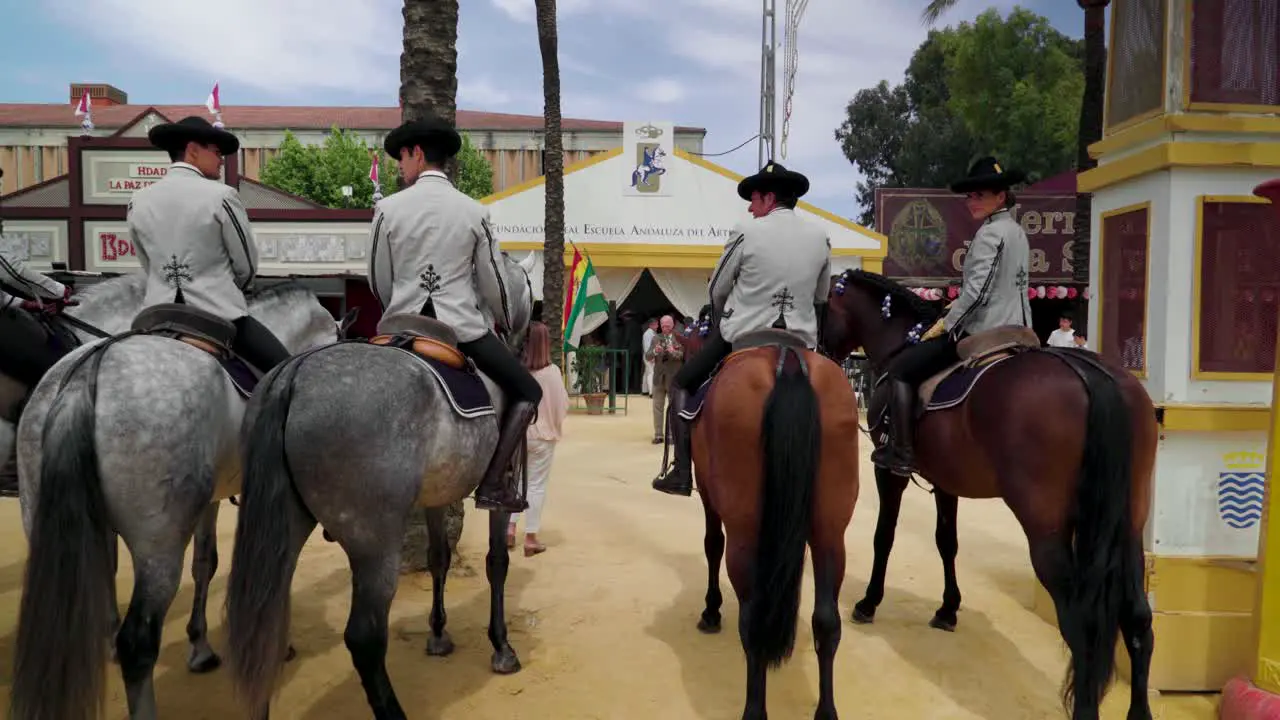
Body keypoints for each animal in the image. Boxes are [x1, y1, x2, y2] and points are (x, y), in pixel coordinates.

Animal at [11, 278, 350, 717]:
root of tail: (84, 376)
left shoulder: (210, 500)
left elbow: (205, 563)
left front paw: (199, 644)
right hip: (160, 545)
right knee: (138, 644)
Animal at [222, 253, 532, 717]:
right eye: (528, 287)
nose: (522, 334)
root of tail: (295, 372)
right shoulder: (499, 494)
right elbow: (497, 563)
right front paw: (502, 646)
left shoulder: (437, 497)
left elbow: (438, 557)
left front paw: (438, 635)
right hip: (374, 543)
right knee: (364, 638)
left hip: (283, 530)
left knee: (264, 625)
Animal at [670, 325, 860, 717]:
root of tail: (788, 361)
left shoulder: (709, 494)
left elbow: (712, 545)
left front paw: (711, 611)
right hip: (830, 531)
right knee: (826, 620)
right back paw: (826, 710)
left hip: (745, 533)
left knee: (753, 619)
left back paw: (754, 709)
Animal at [819, 266, 1162, 712]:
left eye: (823, 306)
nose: (820, 351)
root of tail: (1089, 375)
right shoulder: (945, 481)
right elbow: (946, 541)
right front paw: (948, 609)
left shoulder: (889, 472)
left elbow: (885, 536)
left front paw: (868, 602)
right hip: (1128, 527)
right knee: (1138, 618)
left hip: (1047, 531)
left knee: (1082, 626)